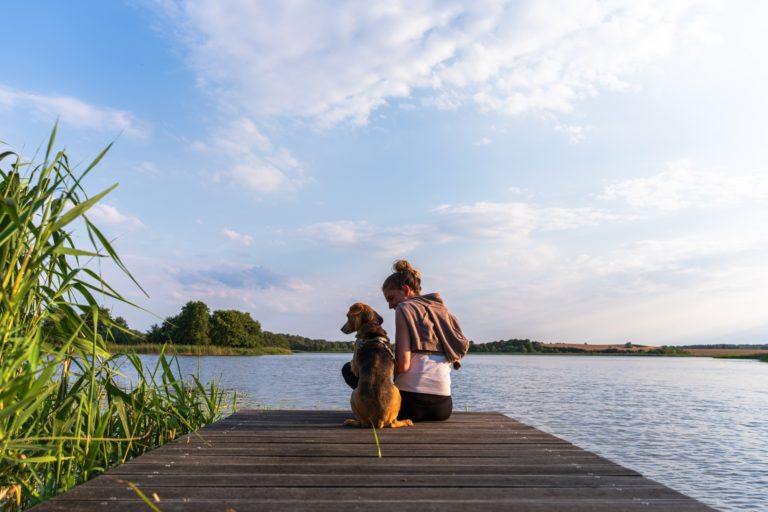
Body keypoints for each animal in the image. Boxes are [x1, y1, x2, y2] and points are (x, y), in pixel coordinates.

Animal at [340, 302, 414, 430]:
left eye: (348, 316)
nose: (342, 329)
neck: (371, 325)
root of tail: (379, 419)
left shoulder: (354, 364)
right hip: (397, 392)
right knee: (393, 423)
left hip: (354, 394)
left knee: (365, 423)